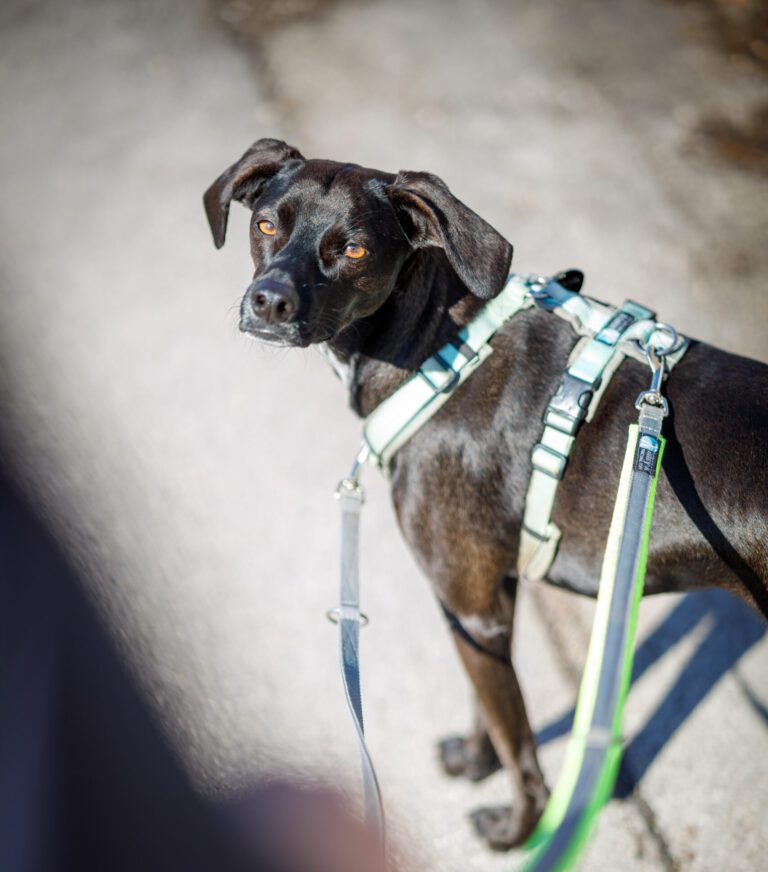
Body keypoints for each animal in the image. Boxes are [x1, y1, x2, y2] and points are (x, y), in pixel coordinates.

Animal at [202, 138, 768, 852]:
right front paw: (475, 764)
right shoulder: (487, 600)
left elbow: (518, 739)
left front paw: (517, 830)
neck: (438, 352)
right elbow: (492, 712)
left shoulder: (470, 604)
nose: (269, 301)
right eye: (266, 224)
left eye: (353, 249)